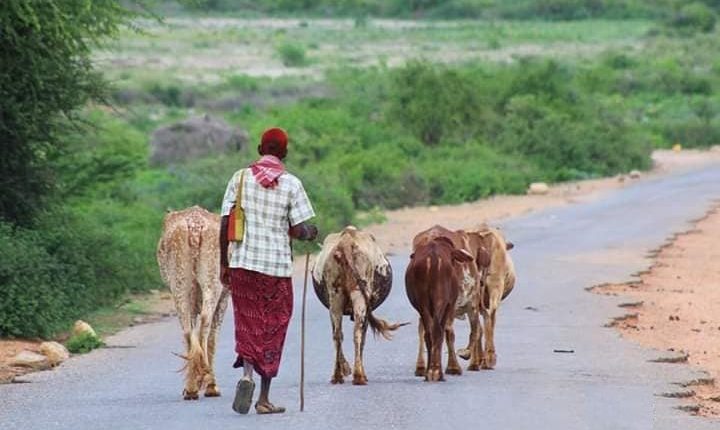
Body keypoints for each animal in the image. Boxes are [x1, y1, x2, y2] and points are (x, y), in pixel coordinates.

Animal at [157, 206, 228, 400]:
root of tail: (194, 229)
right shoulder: (226, 293)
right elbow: (213, 337)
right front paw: (210, 386)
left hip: (179, 282)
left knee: (187, 329)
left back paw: (191, 388)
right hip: (213, 280)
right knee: (205, 323)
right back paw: (210, 384)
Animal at [312, 227, 408, 384]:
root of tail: (346, 241)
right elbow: (363, 339)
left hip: (335, 295)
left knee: (337, 334)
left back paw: (337, 375)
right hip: (360, 295)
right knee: (357, 332)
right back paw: (359, 376)